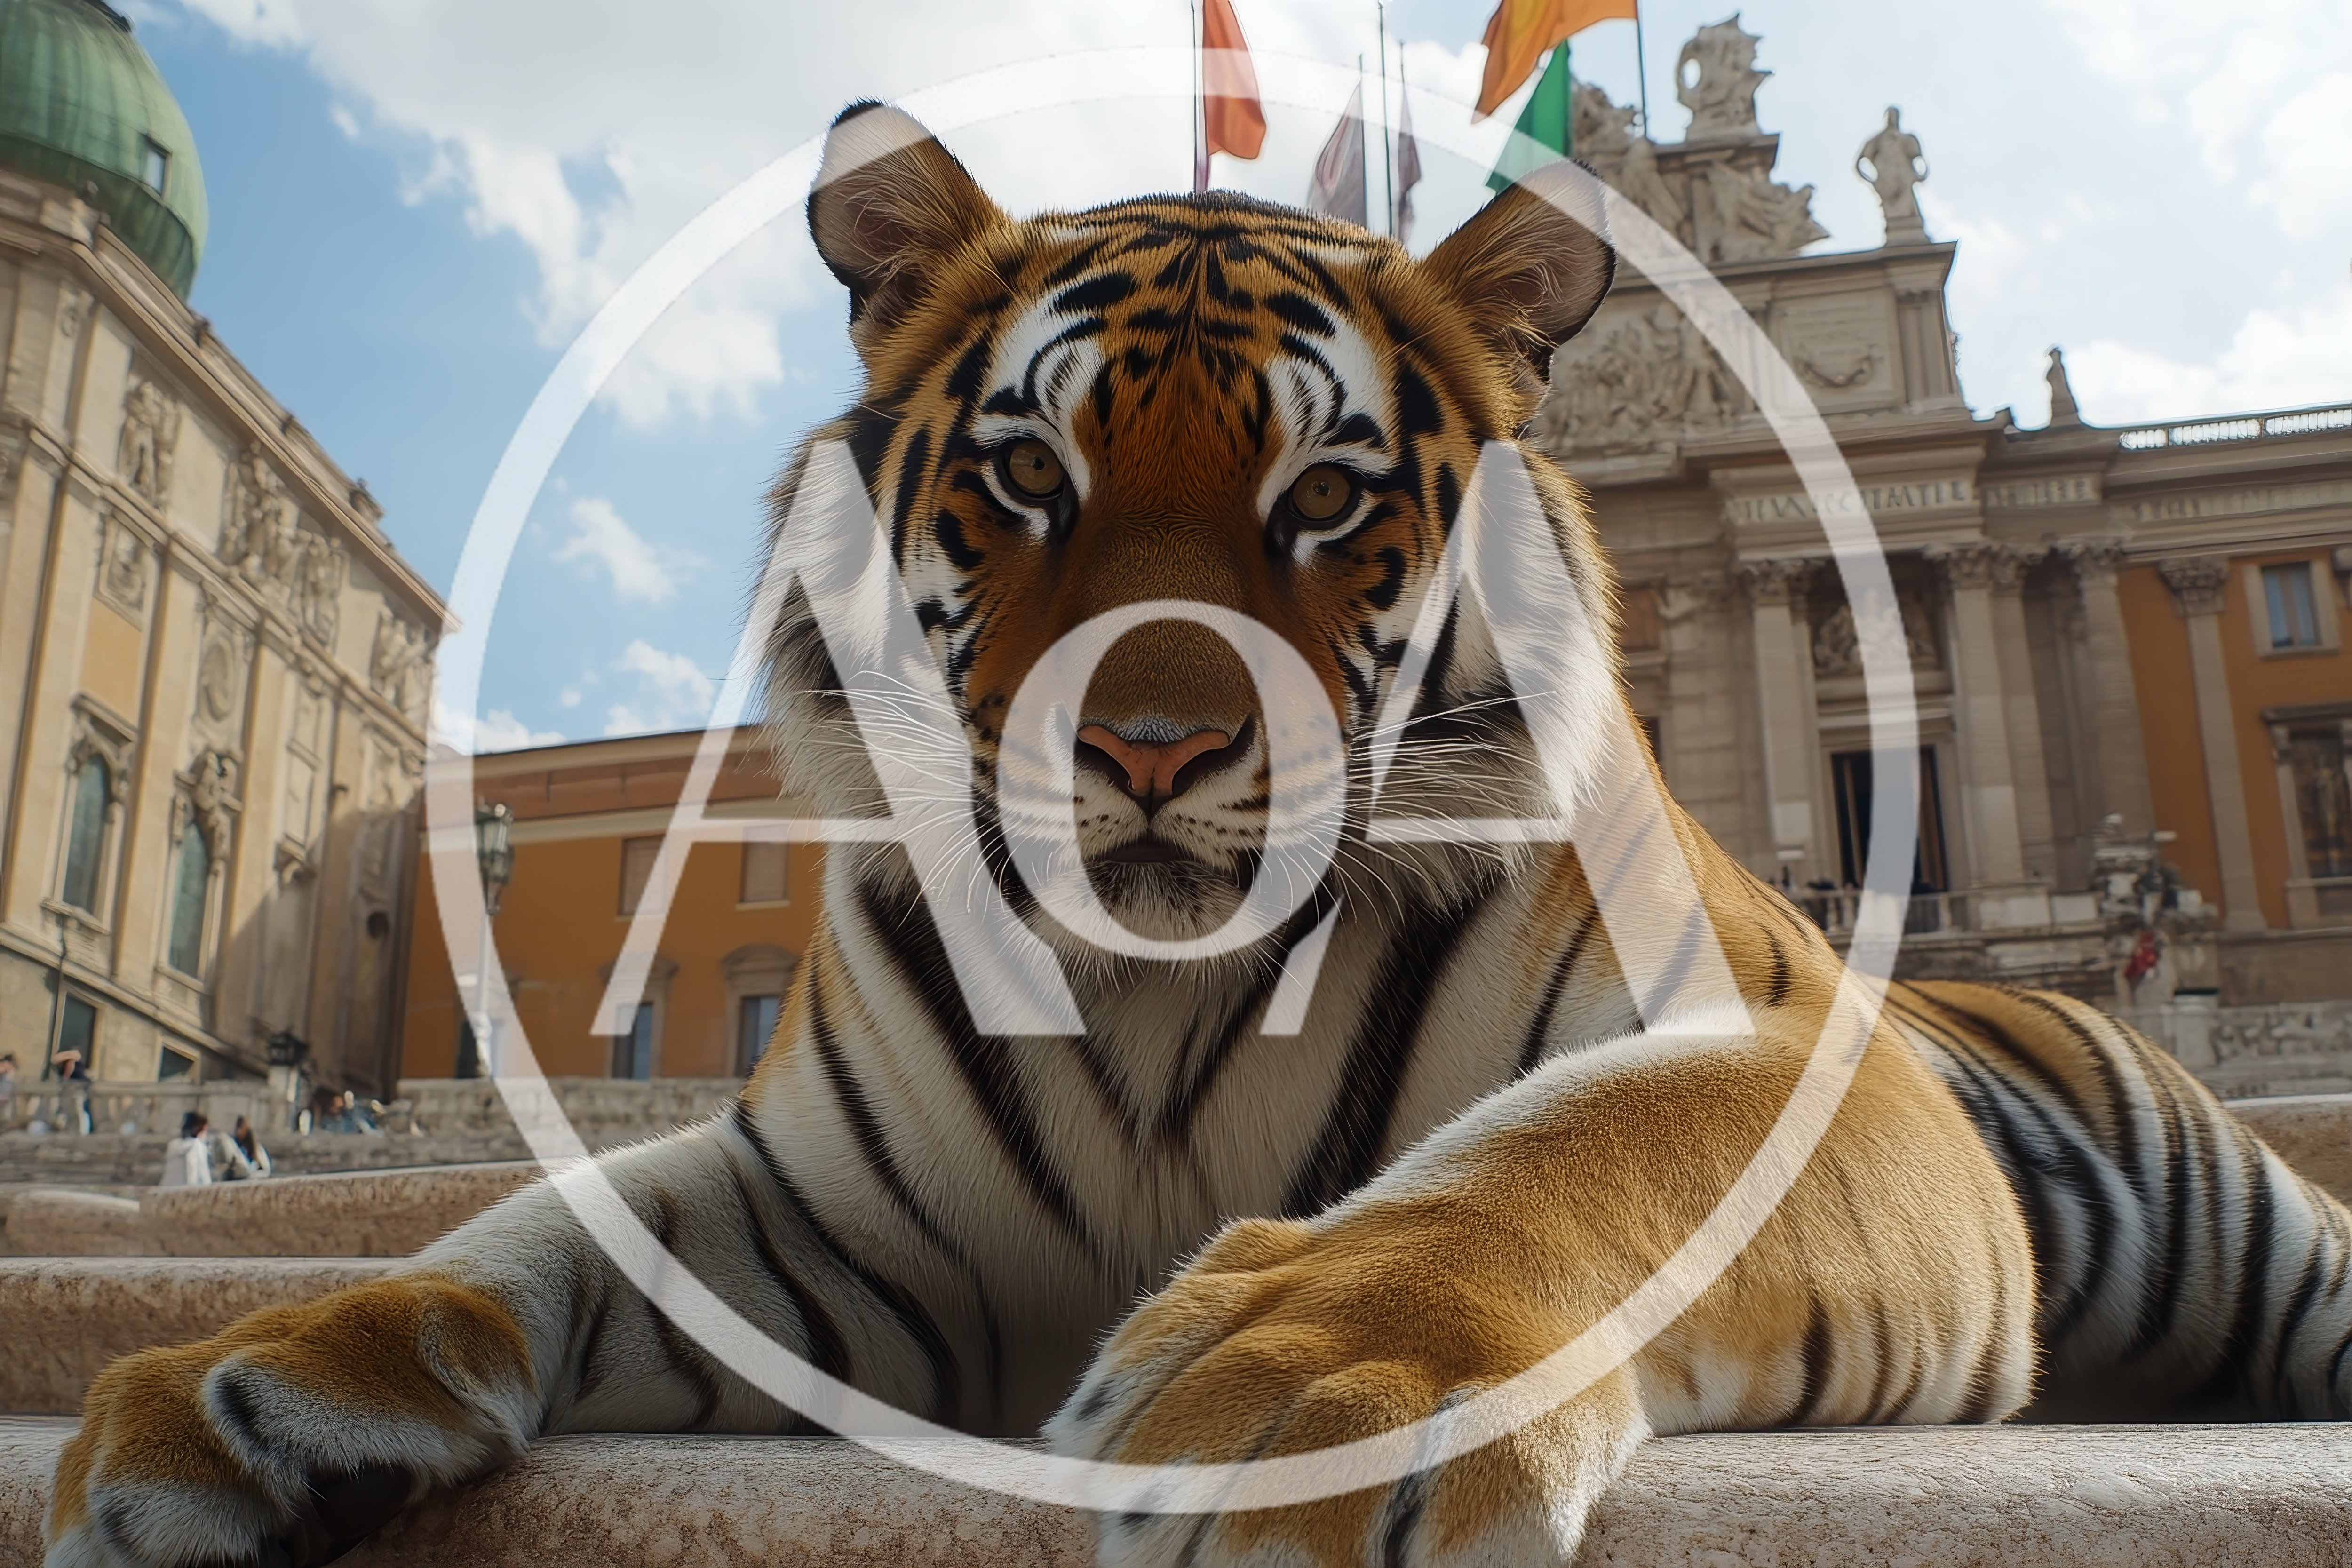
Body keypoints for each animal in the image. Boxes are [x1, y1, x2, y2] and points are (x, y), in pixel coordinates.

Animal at [49, 101, 2352, 1568]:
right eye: (1020, 478)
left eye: (1330, 499)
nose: (1149, 742)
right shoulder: (834, 1233)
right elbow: (520, 1238)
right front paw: (264, 1365)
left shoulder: (1793, 1031)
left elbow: (1545, 1172)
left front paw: (1323, 1363)